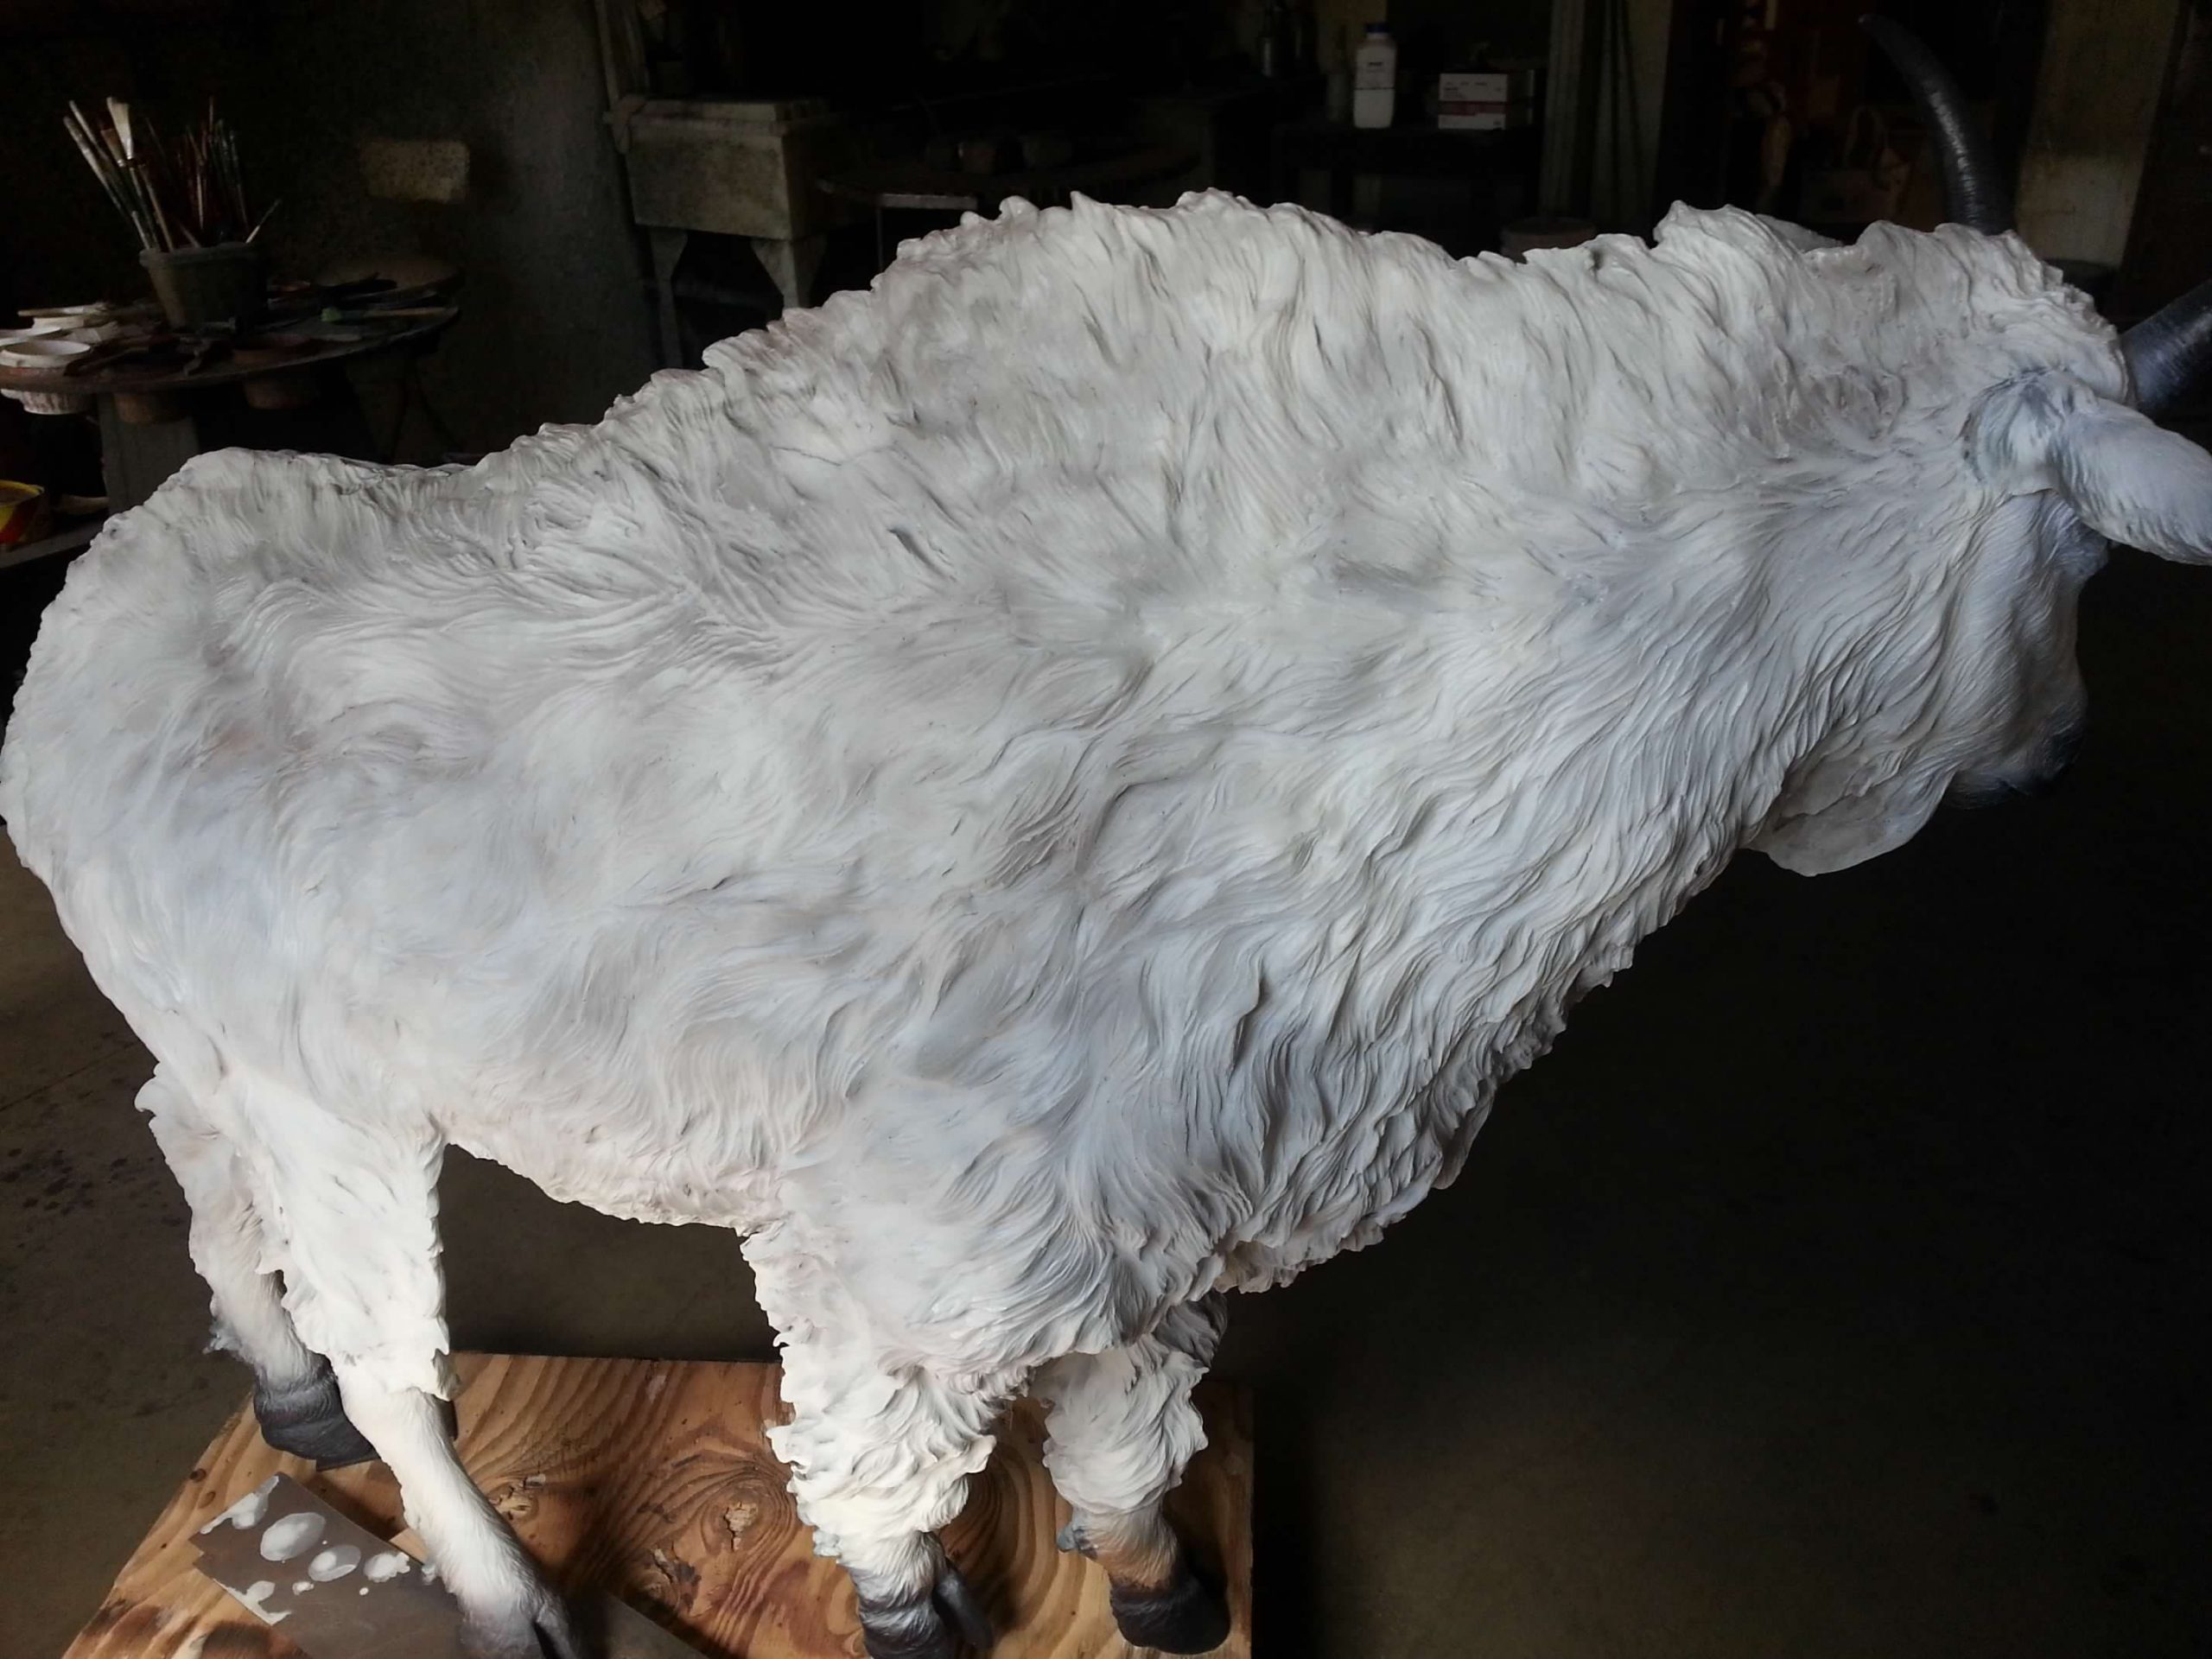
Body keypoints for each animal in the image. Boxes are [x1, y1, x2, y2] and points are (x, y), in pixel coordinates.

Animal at [6, 30, 2211, 1659]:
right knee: (399, 1357)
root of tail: (83, 629)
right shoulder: (905, 1244)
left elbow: (1137, 1433)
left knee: (204, 1175)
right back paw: (490, 1585)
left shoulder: (1163, 1196)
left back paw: (275, 1394)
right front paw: (934, 1612)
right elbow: (885, 1491)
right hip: (336, 1096)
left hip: (223, 1053)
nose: (2049, 758)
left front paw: (1159, 1590)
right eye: (2077, 555)